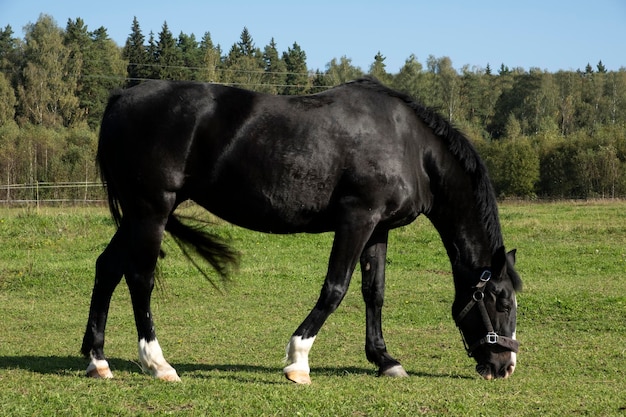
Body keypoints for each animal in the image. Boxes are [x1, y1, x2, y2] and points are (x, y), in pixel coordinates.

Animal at [83, 76, 520, 382]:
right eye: (500, 301)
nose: (506, 366)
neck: (410, 145)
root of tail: (121, 97)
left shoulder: (378, 228)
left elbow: (374, 293)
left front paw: (385, 359)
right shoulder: (357, 218)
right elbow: (335, 288)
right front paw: (298, 360)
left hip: (139, 214)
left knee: (107, 268)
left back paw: (97, 360)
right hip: (152, 209)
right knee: (139, 278)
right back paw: (158, 363)